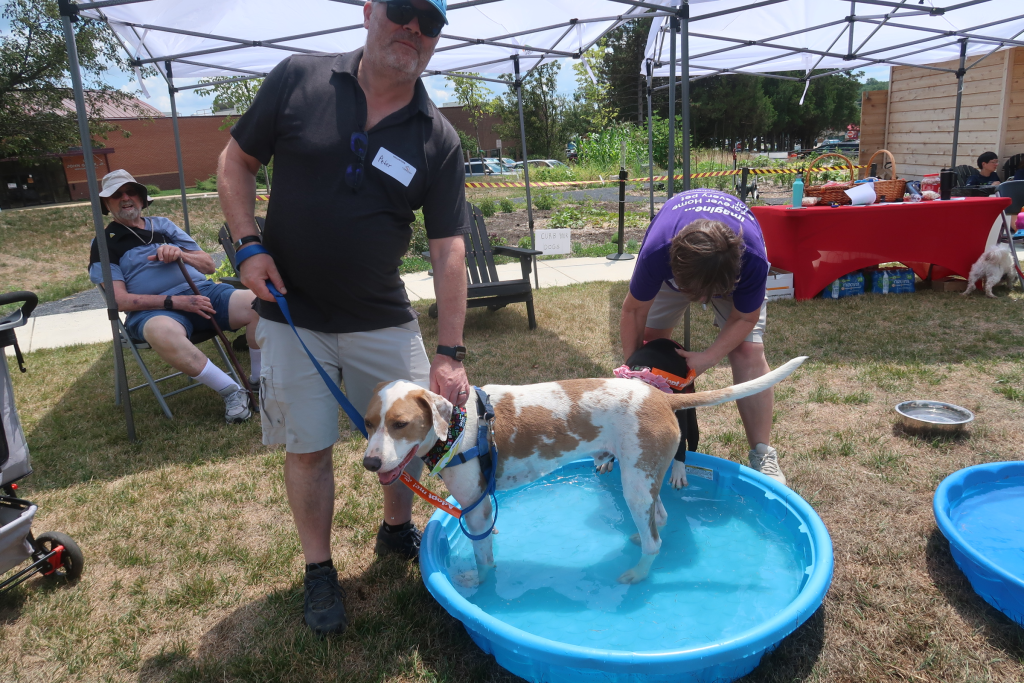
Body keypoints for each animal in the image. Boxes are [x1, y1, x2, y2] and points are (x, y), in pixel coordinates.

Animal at [362, 356, 806, 586]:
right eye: (368, 423)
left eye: (400, 424)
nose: (369, 463)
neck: (456, 423)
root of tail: (663, 399)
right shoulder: (481, 508)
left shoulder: (476, 507)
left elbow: (484, 559)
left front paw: (480, 585)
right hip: (643, 478)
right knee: (660, 517)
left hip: (634, 485)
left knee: (655, 542)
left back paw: (636, 573)